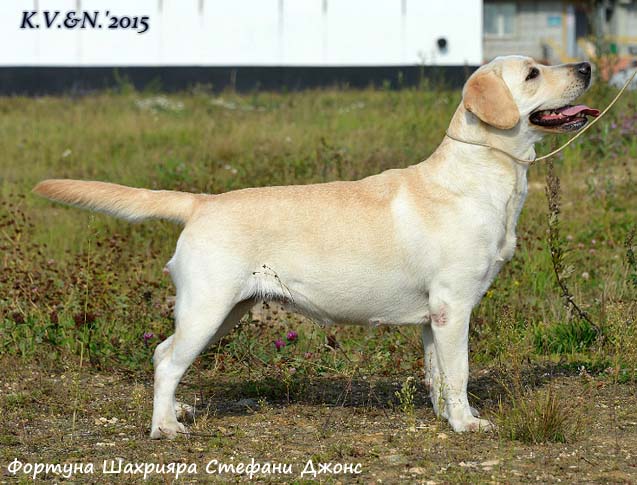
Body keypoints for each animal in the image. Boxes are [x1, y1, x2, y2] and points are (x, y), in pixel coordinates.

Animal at [37, 54, 600, 436]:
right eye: (533, 74)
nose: (587, 65)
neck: (481, 172)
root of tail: (202, 201)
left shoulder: (432, 318)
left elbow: (438, 375)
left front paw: (447, 417)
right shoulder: (454, 307)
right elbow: (458, 373)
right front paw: (466, 424)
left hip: (224, 312)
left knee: (162, 353)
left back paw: (175, 412)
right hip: (208, 308)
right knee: (167, 362)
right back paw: (165, 428)